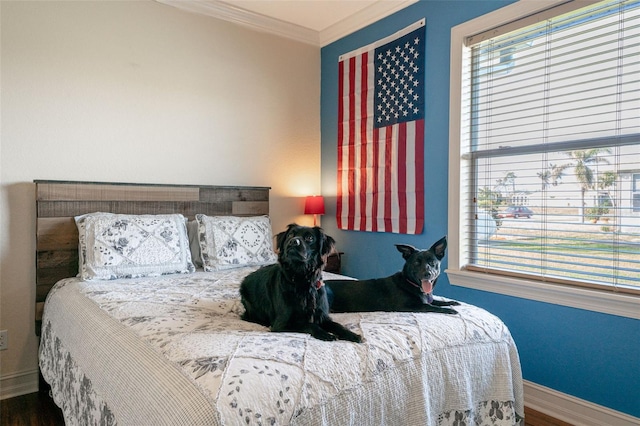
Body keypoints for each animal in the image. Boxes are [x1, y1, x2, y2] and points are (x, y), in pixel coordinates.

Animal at [324, 238, 460, 314]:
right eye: (416, 263)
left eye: (432, 262)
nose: (428, 274)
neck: (409, 283)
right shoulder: (406, 306)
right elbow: (429, 306)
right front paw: (449, 310)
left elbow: (436, 301)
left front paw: (451, 302)